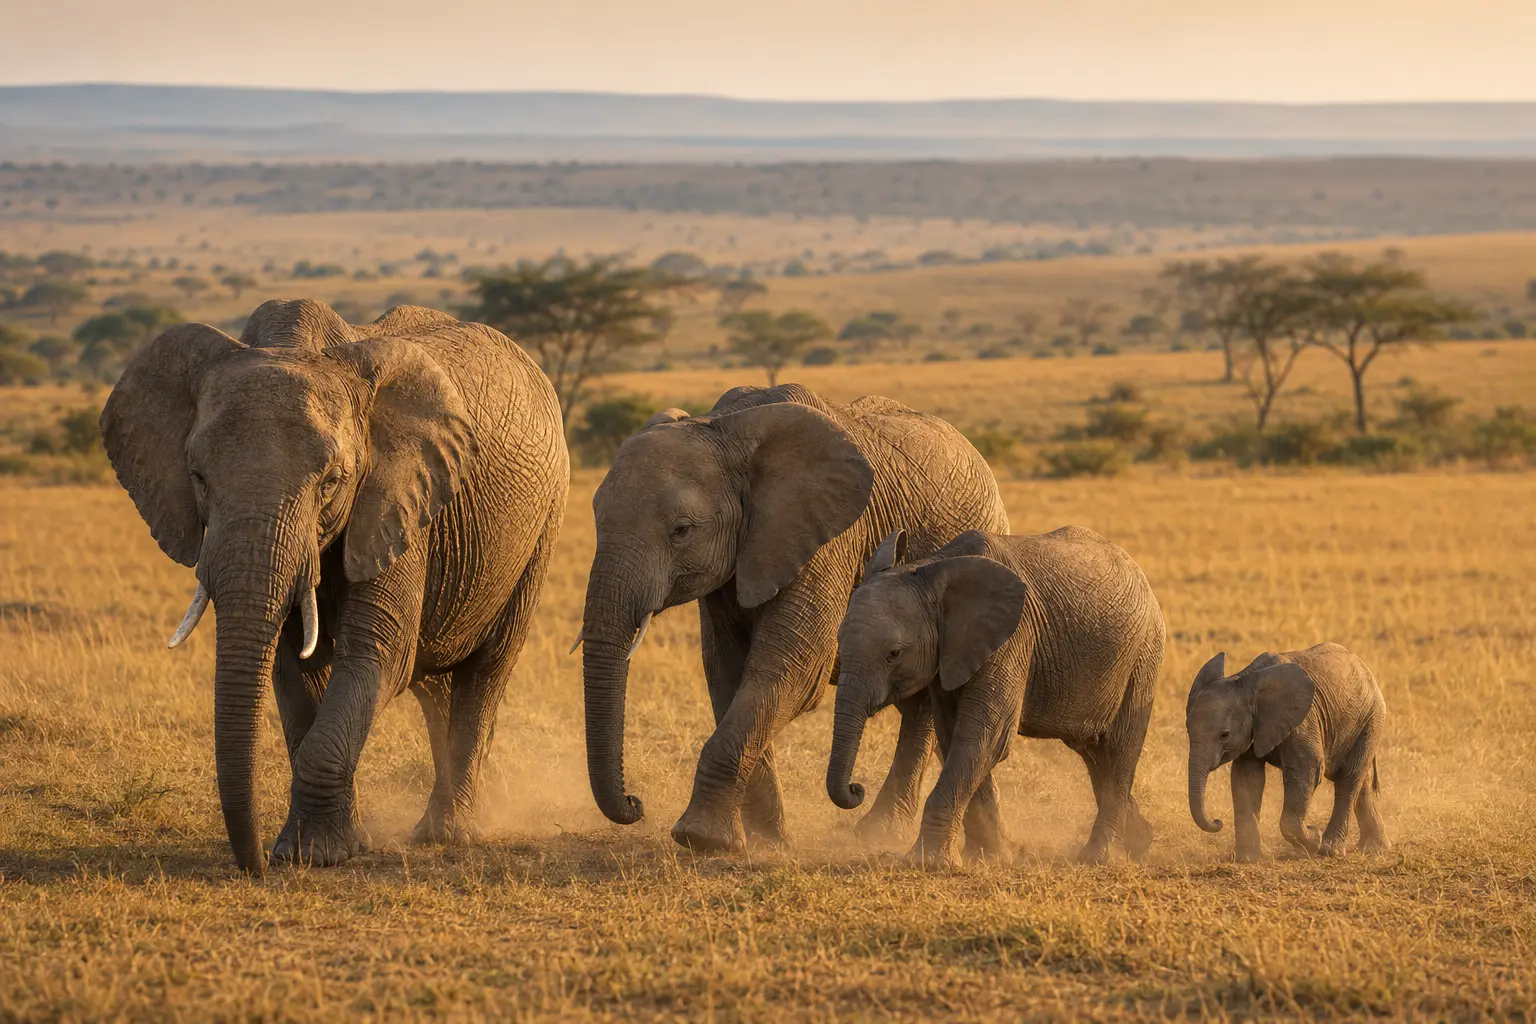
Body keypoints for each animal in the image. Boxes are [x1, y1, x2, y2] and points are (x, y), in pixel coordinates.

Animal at [100, 298, 569, 873]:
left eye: (331, 483)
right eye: (198, 478)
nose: (253, 865)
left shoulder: (400, 502)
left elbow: (377, 654)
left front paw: (316, 854)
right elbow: (291, 668)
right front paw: (307, 849)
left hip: (542, 528)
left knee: (485, 672)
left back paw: (446, 834)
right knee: (436, 688)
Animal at [579, 383, 1009, 853]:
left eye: (681, 531)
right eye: (596, 517)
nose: (635, 803)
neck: (725, 427)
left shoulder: (831, 539)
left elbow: (793, 672)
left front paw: (701, 839)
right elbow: (728, 674)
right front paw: (766, 843)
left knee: (923, 705)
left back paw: (878, 833)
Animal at [827, 527, 1164, 868]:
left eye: (893, 654)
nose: (857, 788)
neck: (932, 568)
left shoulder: (1013, 639)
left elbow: (986, 737)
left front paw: (932, 862)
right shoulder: (950, 653)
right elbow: (956, 738)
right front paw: (989, 857)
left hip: (1142, 657)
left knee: (1119, 750)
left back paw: (1098, 858)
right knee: (1093, 751)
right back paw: (1141, 841)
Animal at [1186, 644, 1389, 861]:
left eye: (1224, 735)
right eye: (1188, 729)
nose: (1217, 821)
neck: (1245, 680)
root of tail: (1364, 667)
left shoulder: (1304, 720)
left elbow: (1307, 770)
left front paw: (1313, 838)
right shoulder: (1253, 727)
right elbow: (1247, 777)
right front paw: (1247, 859)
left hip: (1371, 718)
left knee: (1348, 778)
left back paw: (1330, 850)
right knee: (1360, 781)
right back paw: (1375, 848)